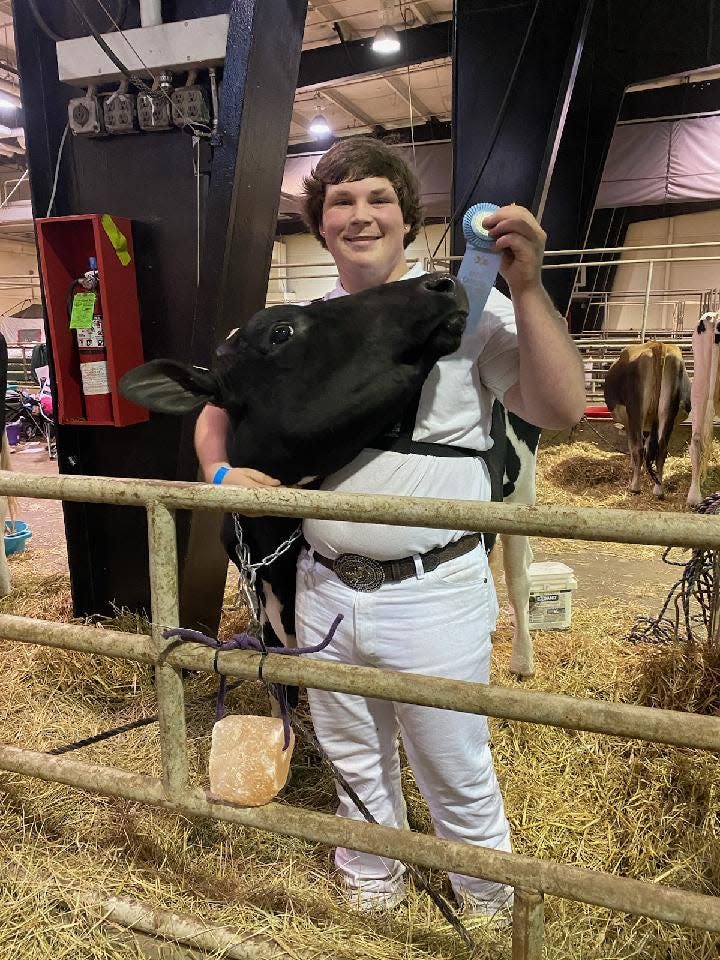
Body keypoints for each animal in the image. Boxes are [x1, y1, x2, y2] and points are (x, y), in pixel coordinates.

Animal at [122, 274, 540, 680]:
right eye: (281, 332)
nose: (441, 280)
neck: (272, 542)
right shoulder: (268, 619)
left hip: (521, 490)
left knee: (519, 574)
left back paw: (522, 661)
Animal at [600, 342, 692, 498]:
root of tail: (658, 345)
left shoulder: (629, 422)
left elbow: (633, 444)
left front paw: (634, 466)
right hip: (667, 412)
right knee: (662, 449)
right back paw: (658, 490)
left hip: (637, 410)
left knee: (638, 447)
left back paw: (635, 487)